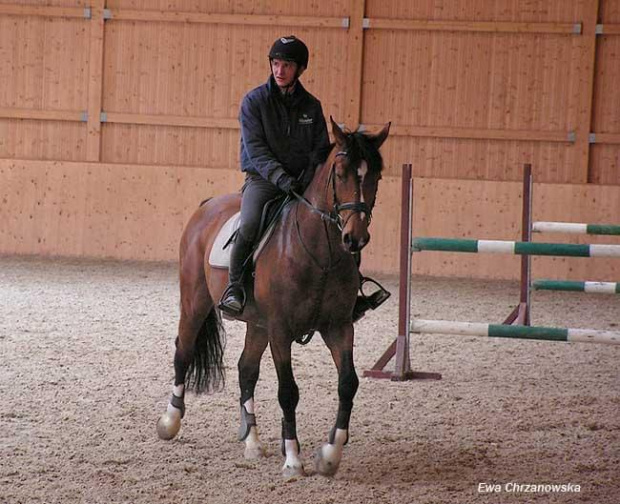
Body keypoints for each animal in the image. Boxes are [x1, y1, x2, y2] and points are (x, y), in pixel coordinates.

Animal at [157, 117, 390, 476]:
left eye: (375, 175)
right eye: (340, 173)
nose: (355, 238)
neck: (319, 254)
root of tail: (206, 206)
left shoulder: (338, 326)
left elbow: (348, 383)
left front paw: (330, 454)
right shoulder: (281, 329)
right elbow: (288, 391)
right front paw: (293, 459)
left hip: (258, 324)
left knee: (246, 369)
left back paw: (252, 441)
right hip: (195, 301)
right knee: (183, 350)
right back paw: (170, 421)